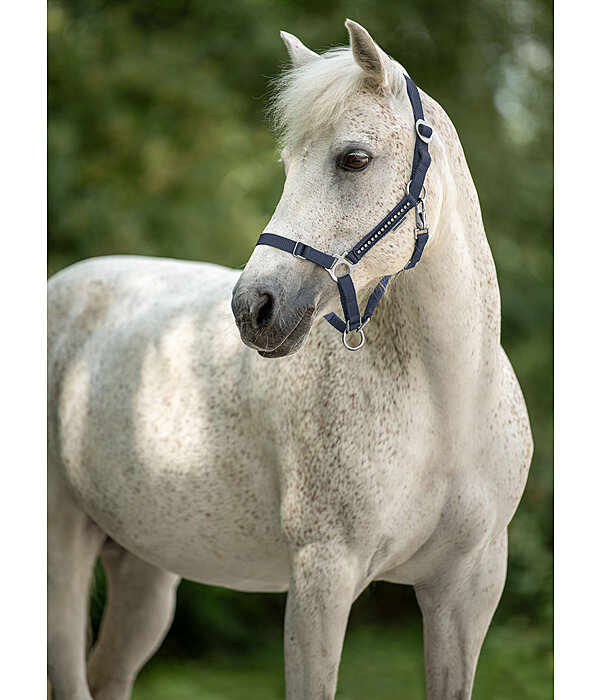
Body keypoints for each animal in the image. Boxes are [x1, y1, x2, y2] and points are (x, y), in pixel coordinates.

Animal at [48, 20, 536, 700]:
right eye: (286, 165)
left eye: (353, 158)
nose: (254, 307)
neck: (448, 407)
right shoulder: (321, 580)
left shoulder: (467, 590)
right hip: (61, 553)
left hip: (144, 570)